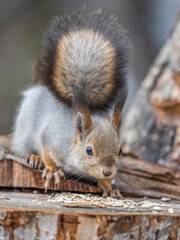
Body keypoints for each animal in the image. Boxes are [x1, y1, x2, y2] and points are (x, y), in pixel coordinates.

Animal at [3, 7, 130, 199]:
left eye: (120, 150)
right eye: (89, 150)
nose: (108, 171)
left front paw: (108, 185)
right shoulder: (52, 138)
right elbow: (47, 151)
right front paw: (52, 170)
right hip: (25, 128)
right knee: (22, 147)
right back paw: (34, 157)